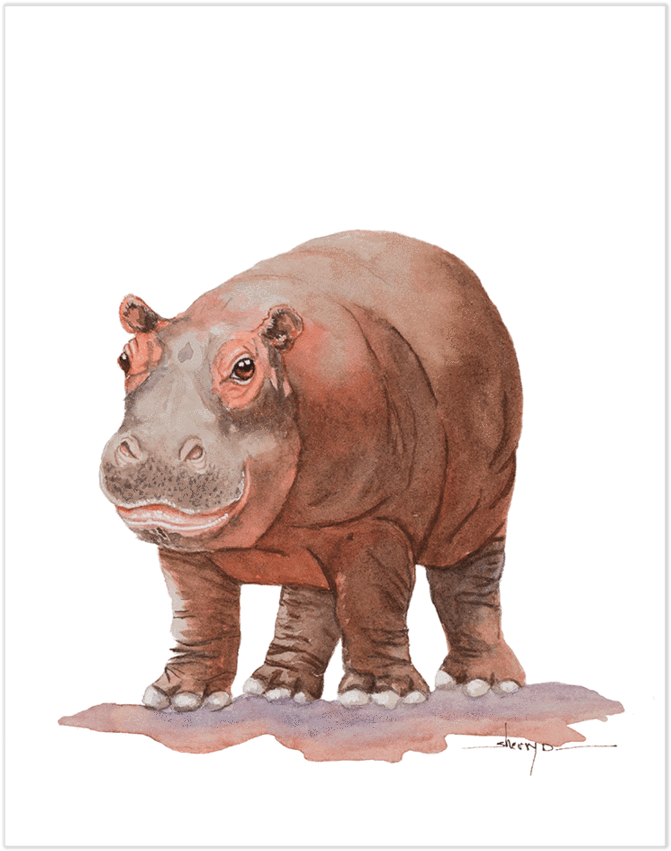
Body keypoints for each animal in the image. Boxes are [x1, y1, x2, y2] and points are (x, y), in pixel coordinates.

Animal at [100, 230, 526, 712]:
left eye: (244, 367)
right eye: (124, 358)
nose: (156, 450)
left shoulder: (373, 519)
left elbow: (370, 602)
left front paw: (380, 697)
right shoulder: (188, 545)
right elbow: (198, 615)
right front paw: (179, 699)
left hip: (487, 487)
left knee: (471, 576)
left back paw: (485, 685)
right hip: (314, 537)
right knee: (309, 594)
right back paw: (279, 690)